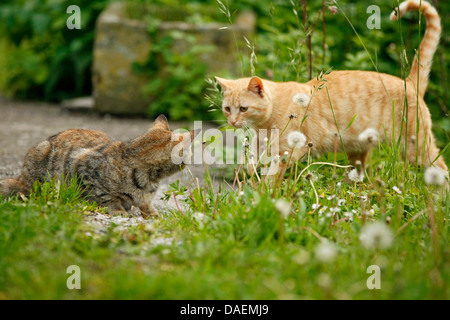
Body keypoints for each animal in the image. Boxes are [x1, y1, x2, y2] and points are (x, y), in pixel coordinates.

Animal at [0, 115, 197, 218]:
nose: (192, 158)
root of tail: (21, 177)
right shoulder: (82, 165)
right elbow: (107, 196)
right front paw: (118, 209)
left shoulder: (146, 197)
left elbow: (146, 203)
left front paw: (152, 214)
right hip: (43, 162)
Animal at [216, 0, 448, 175]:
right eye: (227, 109)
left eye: (243, 109)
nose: (232, 121)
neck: (264, 123)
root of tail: (409, 82)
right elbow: (250, 164)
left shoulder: (287, 153)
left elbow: (270, 182)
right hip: (358, 152)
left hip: (415, 147)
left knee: (441, 170)